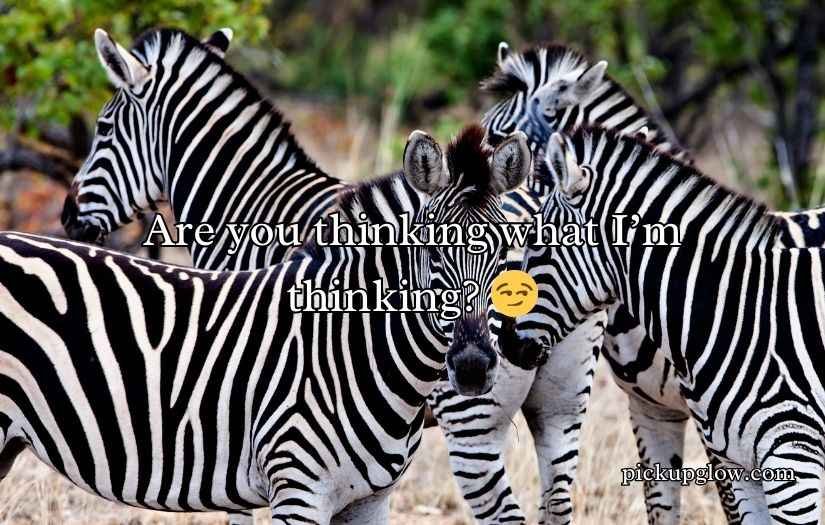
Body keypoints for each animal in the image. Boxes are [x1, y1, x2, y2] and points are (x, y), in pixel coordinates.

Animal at [0, 125, 533, 524]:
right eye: (432, 251)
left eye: (507, 255)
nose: (472, 367)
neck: (349, 346)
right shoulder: (296, 490)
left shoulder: (370, 500)